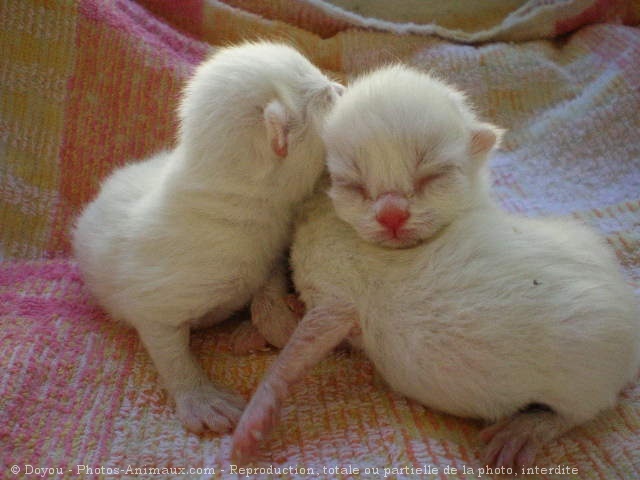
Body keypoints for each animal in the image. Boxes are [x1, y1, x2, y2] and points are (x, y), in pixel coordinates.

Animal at [72, 40, 342, 432]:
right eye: (326, 99)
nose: (340, 86)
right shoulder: (154, 298)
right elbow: (169, 350)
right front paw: (200, 398)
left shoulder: (268, 257)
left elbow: (267, 289)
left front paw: (277, 323)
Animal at [231, 65, 640, 466]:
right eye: (352, 184)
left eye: (432, 176)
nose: (392, 215)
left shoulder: (336, 299)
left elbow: (295, 348)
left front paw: (254, 416)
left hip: (588, 370)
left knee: (579, 411)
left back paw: (525, 430)